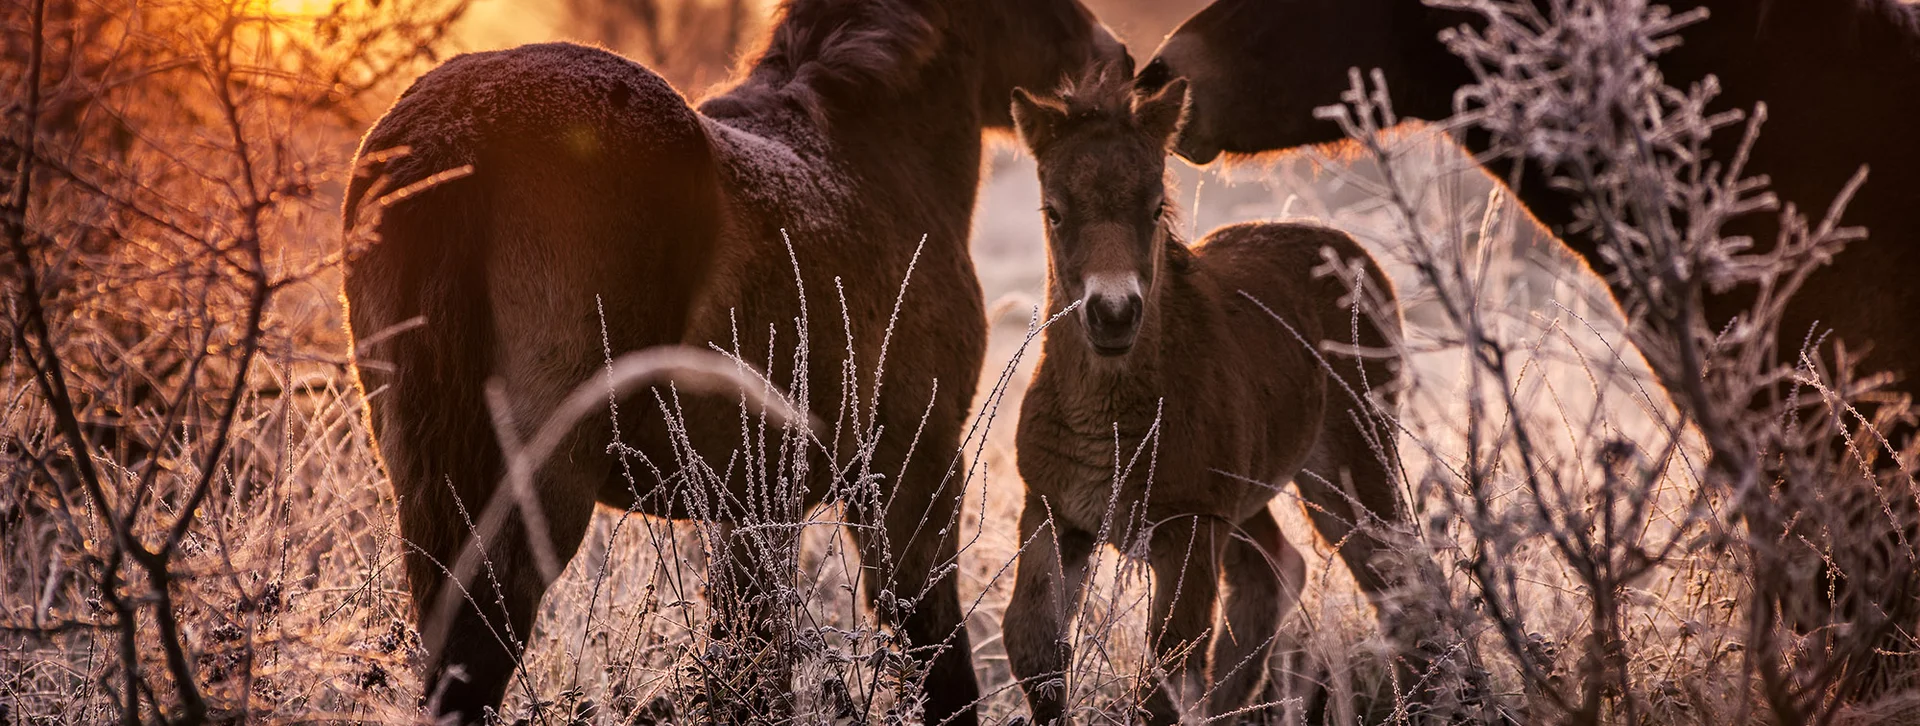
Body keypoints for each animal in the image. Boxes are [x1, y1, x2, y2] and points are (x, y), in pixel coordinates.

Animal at [340, 1, 1124, 721]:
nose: (1113, 60)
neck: (873, 158)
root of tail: (458, 127)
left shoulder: (752, 507)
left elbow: (748, 657)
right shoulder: (911, 469)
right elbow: (931, 644)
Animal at [1003, 66, 1408, 724]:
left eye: (1154, 207)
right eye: (1055, 212)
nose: (1113, 314)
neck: (1107, 425)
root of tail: (1354, 254)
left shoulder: (1188, 526)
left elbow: (1166, 671)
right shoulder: (1052, 508)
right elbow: (1033, 647)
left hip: (1349, 465)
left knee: (1396, 573)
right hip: (1248, 494)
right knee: (1275, 570)